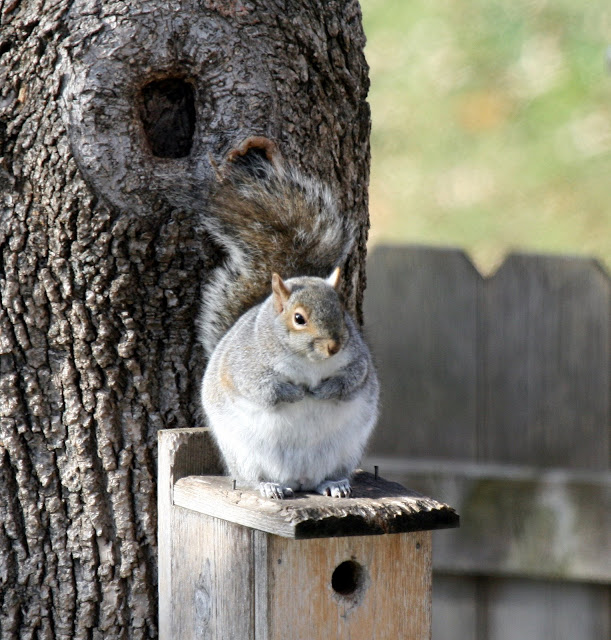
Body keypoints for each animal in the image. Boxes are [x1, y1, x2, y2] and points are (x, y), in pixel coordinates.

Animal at [198, 137, 379, 499]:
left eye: (342, 311)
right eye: (298, 318)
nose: (334, 346)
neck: (308, 364)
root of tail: (300, 480)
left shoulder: (358, 362)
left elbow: (351, 381)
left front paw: (324, 391)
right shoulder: (245, 367)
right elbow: (262, 388)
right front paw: (295, 393)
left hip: (346, 450)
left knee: (330, 474)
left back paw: (335, 484)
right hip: (245, 454)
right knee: (252, 477)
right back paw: (269, 487)